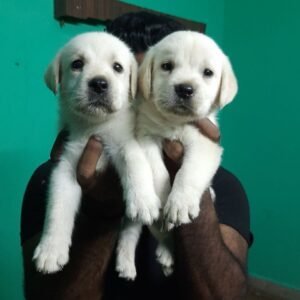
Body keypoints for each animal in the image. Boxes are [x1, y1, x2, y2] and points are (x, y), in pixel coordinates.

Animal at [33, 32, 162, 274]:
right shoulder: (67, 165)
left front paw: (142, 200)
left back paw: (127, 263)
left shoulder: (126, 142)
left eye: (118, 67)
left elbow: (135, 164)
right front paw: (50, 250)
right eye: (77, 64)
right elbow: (57, 208)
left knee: (130, 232)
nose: (99, 84)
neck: (95, 126)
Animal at [116, 29, 238, 278]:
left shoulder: (205, 143)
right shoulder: (146, 136)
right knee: (138, 228)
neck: (175, 123)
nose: (185, 89)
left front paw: (180, 203)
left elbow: (189, 172)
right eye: (167, 66)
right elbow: (158, 171)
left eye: (208, 73)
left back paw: (166, 254)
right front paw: (165, 197)